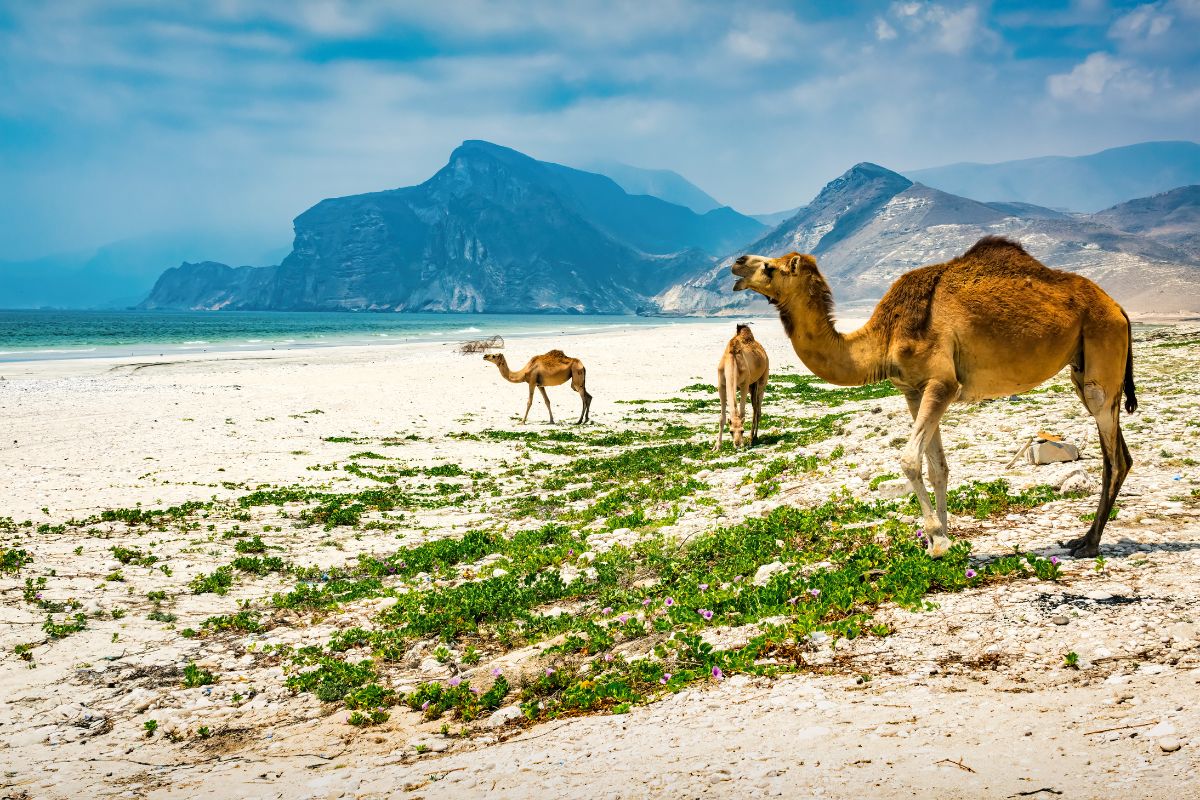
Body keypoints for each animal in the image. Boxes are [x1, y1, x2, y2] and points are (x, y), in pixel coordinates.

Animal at [729, 235, 1132, 556]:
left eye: (770, 267)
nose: (737, 261)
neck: (884, 336)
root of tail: (1119, 308)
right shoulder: (914, 390)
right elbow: (938, 467)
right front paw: (946, 540)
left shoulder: (942, 383)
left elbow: (909, 460)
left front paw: (936, 539)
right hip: (1082, 365)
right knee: (1120, 450)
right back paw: (1085, 538)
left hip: (1102, 346)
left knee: (1113, 455)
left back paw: (1088, 543)